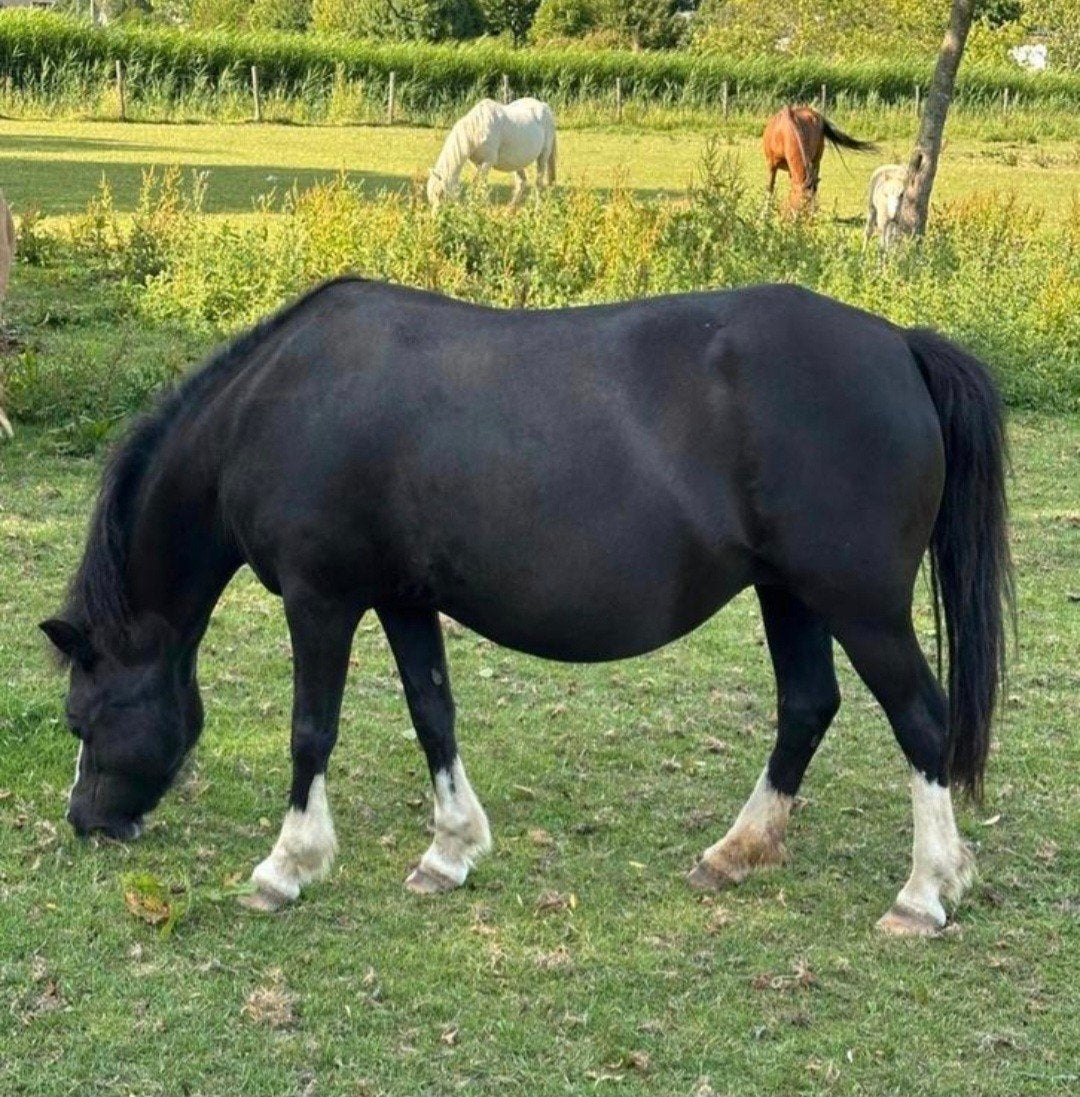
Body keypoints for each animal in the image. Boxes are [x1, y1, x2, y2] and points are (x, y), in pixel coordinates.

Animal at [42, 278, 1013, 937]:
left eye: (83, 716)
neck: (280, 405)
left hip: (861, 605)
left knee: (922, 721)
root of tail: (899, 346)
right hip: (791, 595)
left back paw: (924, 892)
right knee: (807, 706)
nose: (88, 821)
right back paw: (736, 850)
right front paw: (449, 851)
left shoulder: (323, 599)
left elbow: (311, 730)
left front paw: (288, 866)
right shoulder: (401, 599)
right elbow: (432, 712)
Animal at [426, 97, 557, 209]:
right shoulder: (478, 165)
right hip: (517, 162)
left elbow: (480, 184)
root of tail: (545, 107)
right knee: (521, 182)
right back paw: (510, 208)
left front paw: (480, 206)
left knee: (538, 182)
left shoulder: (487, 162)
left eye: (440, 194)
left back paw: (537, 207)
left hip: (543, 156)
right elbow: (481, 184)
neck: (476, 130)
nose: (436, 218)